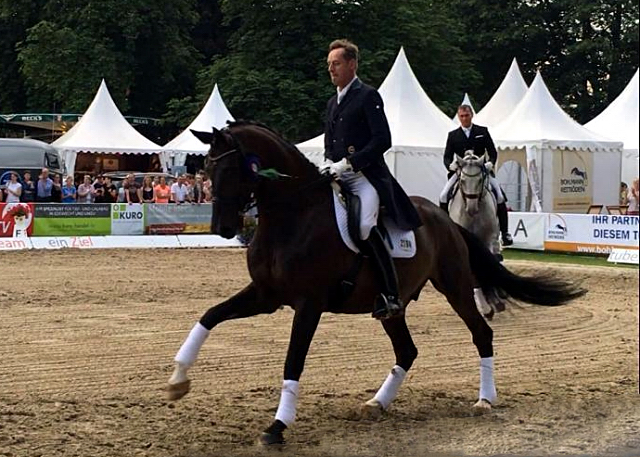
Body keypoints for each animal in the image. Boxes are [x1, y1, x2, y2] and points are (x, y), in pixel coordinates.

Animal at [165, 119, 584, 444]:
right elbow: (208, 316)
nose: (223, 228)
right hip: (393, 305)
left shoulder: (308, 304)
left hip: (456, 287)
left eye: (233, 169)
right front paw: (178, 380)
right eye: (207, 170)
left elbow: (293, 360)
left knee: (481, 333)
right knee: (407, 350)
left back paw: (485, 399)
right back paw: (377, 403)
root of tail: (446, 220)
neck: (293, 215)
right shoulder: (266, 295)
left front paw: (278, 425)